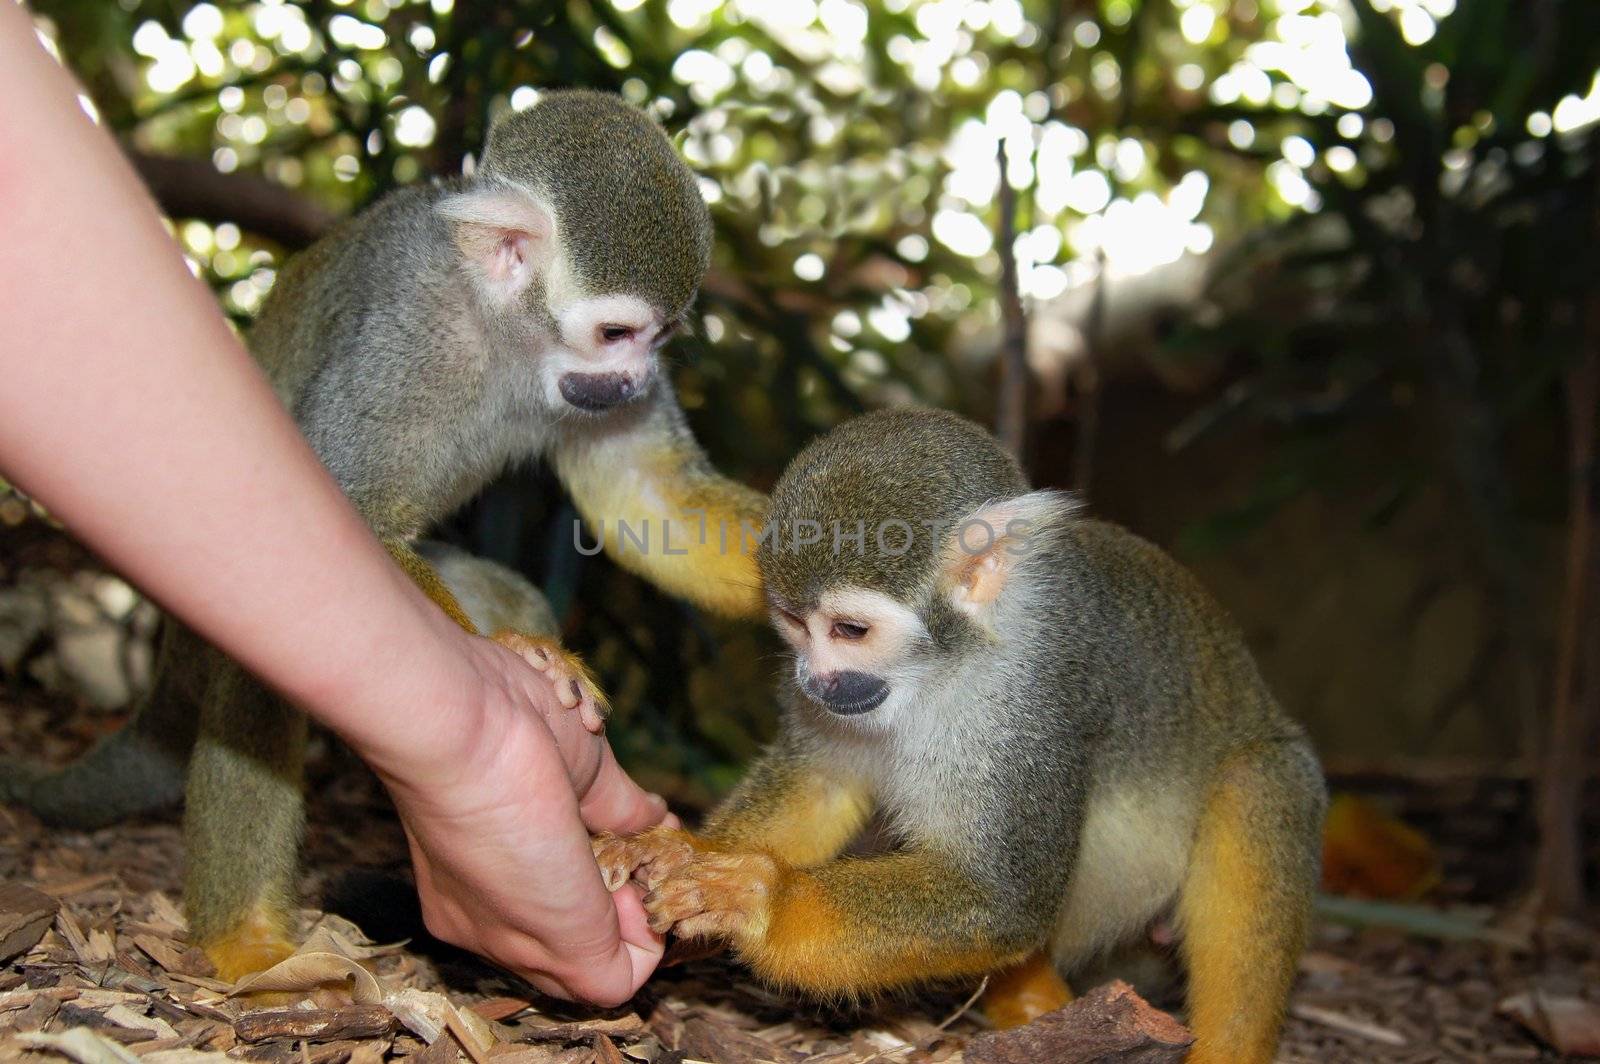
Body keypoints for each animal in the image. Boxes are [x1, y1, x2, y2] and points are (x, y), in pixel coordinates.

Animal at [1, 91, 761, 979]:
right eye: (616, 334)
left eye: (660, 339)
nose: (638, 380)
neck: (502, 327)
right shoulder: (408, 331)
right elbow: (343, 506)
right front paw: (517, 662)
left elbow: (650, 498)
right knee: (264, 669)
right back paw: (247, 947)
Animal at [601, 406, 1324, 1062]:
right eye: (794, 625)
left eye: (850, 631)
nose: (813, 679)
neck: (944, 664)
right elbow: (822, 784)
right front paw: (675, 849)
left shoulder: (1026, 700)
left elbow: (1003, 899)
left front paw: (762, 899)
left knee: (1257, 784)